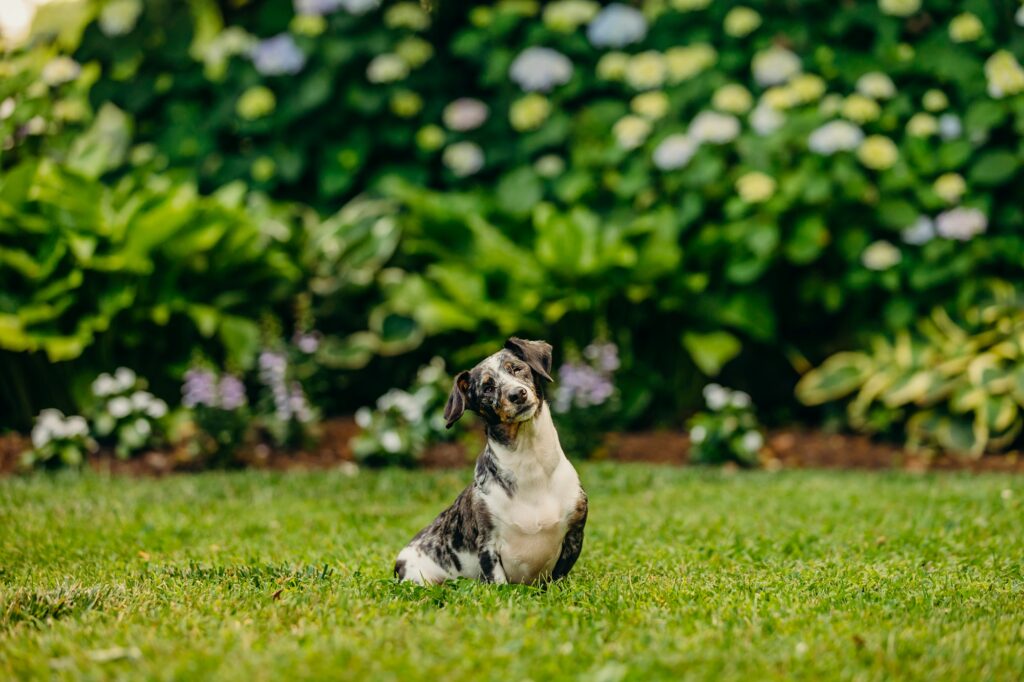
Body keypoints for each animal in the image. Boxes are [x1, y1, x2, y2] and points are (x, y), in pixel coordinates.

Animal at [393, 337, 589, 581]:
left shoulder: (574, 534)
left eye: (517, 369)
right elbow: (498, 580)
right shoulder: (487, 544)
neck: (531, 467)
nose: (518, 394)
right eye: (487, 387)